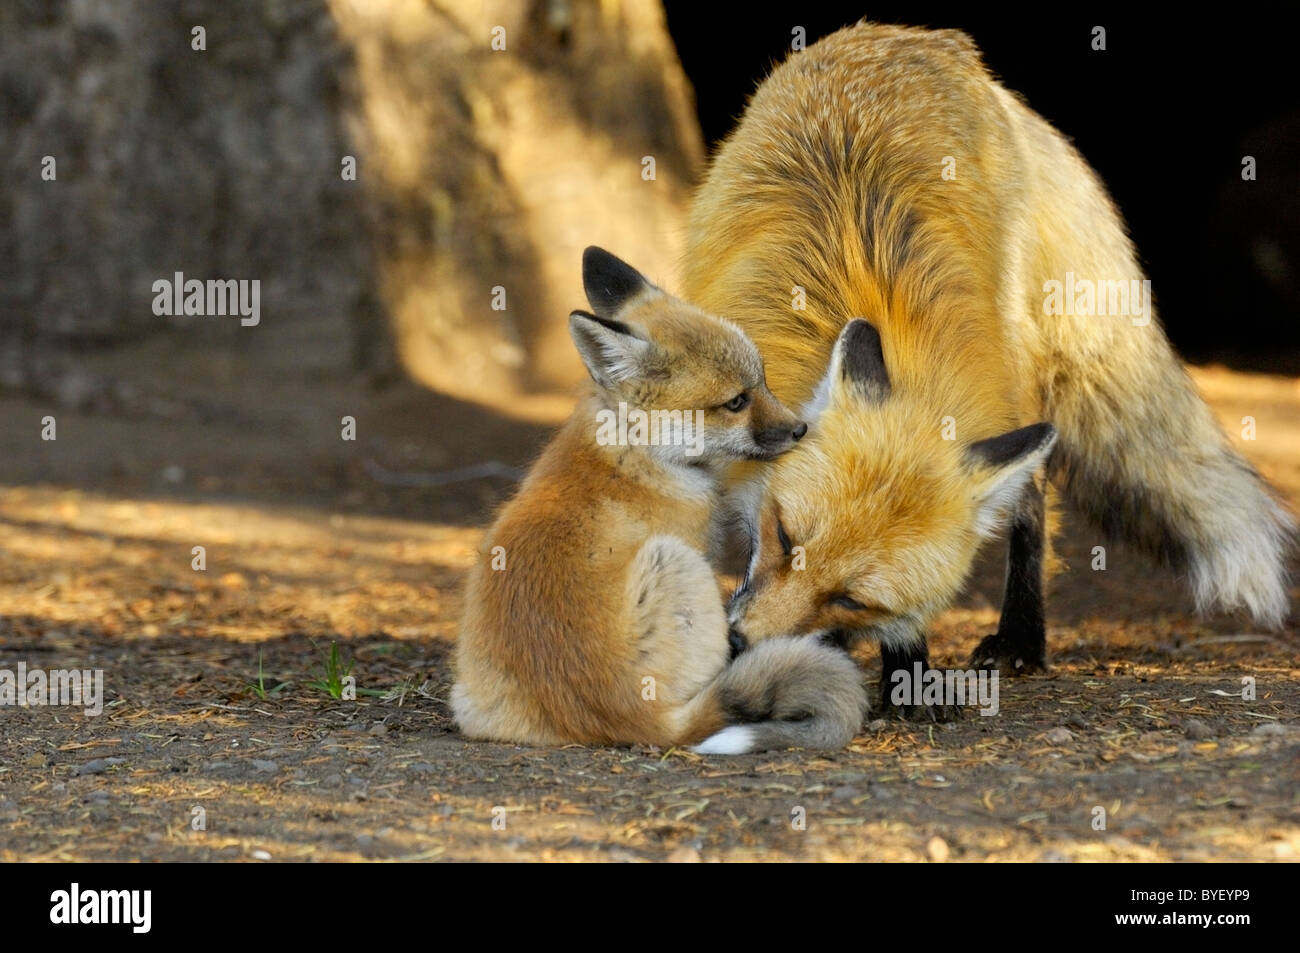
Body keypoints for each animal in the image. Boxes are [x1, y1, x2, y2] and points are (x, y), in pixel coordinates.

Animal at [451, 247, 869, 753]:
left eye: (764, 380)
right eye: (736, 402)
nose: (800, 429)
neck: (638, 453)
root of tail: (630, 719)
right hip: (675, 562)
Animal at [681, 22, 1295, 715]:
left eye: (852, 599)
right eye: (787, 539)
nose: (738, 643)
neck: (876, 302)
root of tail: (924, 38)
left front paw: (903, 670)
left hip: (1019, 377)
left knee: (1030, 505)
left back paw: (1021, 639)